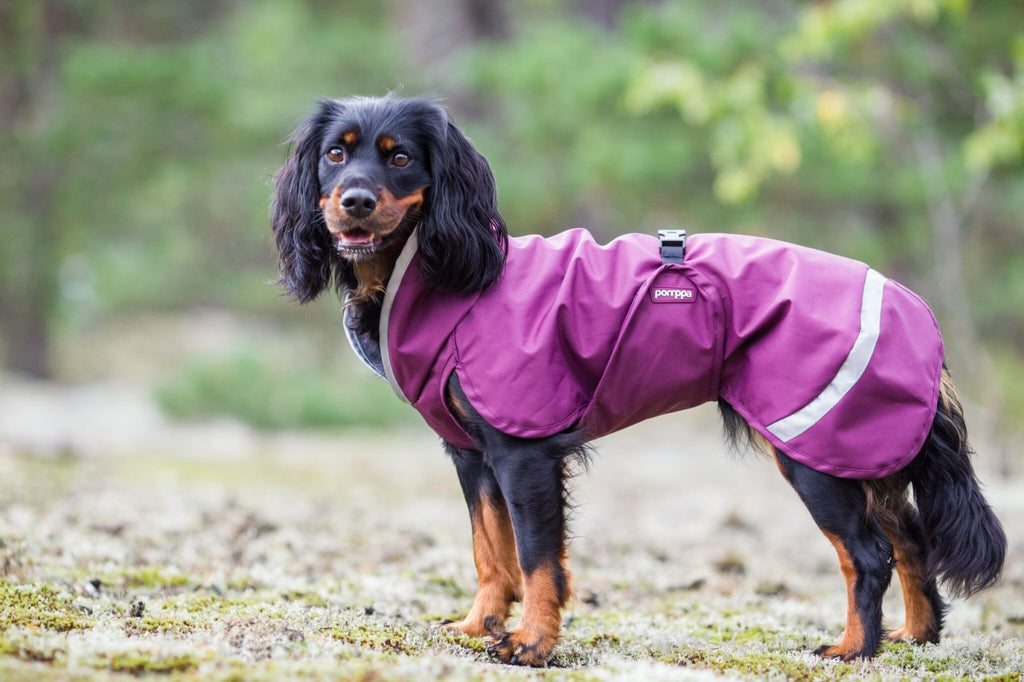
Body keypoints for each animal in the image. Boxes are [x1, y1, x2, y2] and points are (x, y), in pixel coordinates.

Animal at [268, 94, 1003, 663]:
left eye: (399, 158)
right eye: (335, 154)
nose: (354, 201)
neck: (444, 275)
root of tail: (915, 308)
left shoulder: (522, 450)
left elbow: (536, 557)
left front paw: (531, 643)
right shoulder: (472, 453)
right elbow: (491, 550)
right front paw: (480, 626)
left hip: (813, 448)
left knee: (870, 554)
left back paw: (853, 649)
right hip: (860, 446)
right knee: (911, 539)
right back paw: (914, 636)